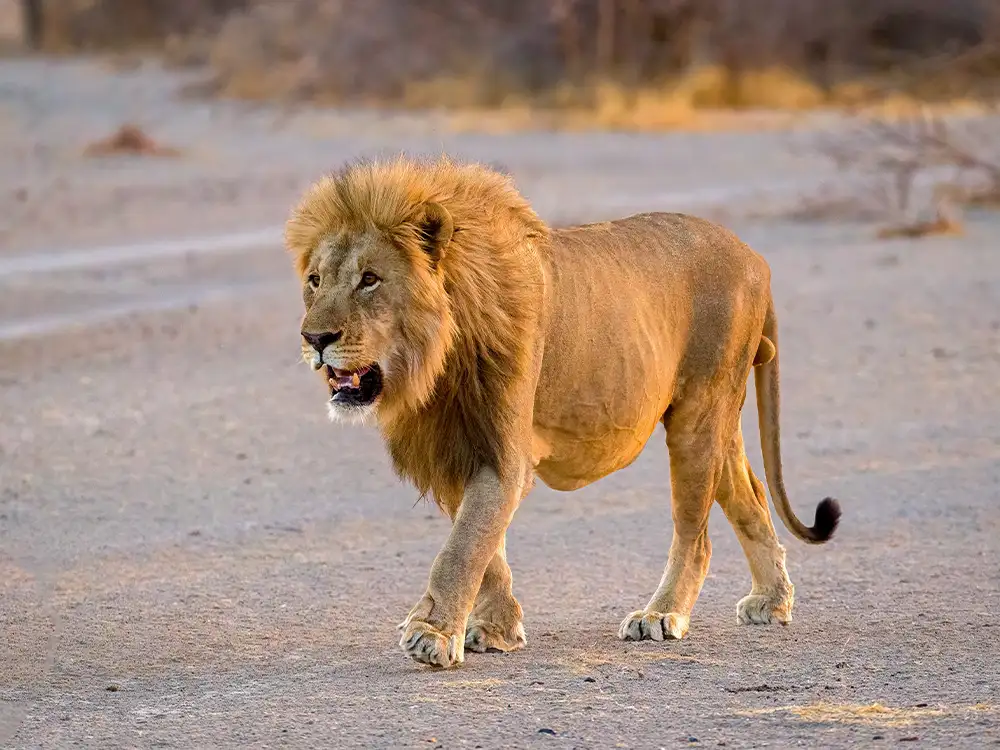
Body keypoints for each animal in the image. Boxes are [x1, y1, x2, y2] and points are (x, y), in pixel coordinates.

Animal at [284, 155, 841, 669]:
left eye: (370, 279)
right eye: (315, 280)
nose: (315, 338)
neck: (434, 361)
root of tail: (755, 257)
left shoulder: (503, 452)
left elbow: (463, 546)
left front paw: (432, 634)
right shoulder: (456, 447)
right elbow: (486, 547)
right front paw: (497, 628)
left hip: (698, 414)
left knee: (696, 533)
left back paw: (661, 614)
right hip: (711, 417)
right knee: (751, 495)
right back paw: (772, 600)